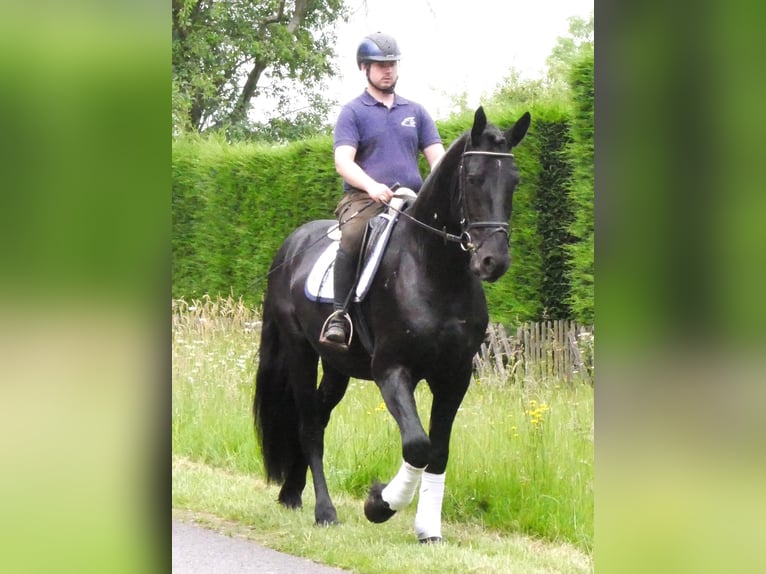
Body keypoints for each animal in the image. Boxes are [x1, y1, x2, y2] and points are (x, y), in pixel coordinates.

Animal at [254, 106, 531, 543]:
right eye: (473, 177)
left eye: (514, 181)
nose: (494, 261)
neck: (433, 269)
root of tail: (291, 245)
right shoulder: (392, 370)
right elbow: (417, 444)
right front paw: (379, 504)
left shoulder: (454, 376)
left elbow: (439, 452)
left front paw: (428, 530)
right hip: (300, 353)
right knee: (310, 425)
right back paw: (324, 510)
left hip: (337, 367)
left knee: (318, 416)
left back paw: (291, 493)